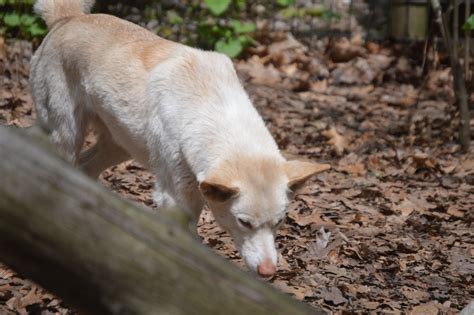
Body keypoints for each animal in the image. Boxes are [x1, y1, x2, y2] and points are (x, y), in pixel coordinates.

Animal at [30, 0, 330, 278]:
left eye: (280, 222)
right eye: (244, 222)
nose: (268, 272)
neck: (209, 109)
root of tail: (68, 18)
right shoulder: (174, 197)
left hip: (119, 145)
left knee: (83, 168)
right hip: (67, 134)